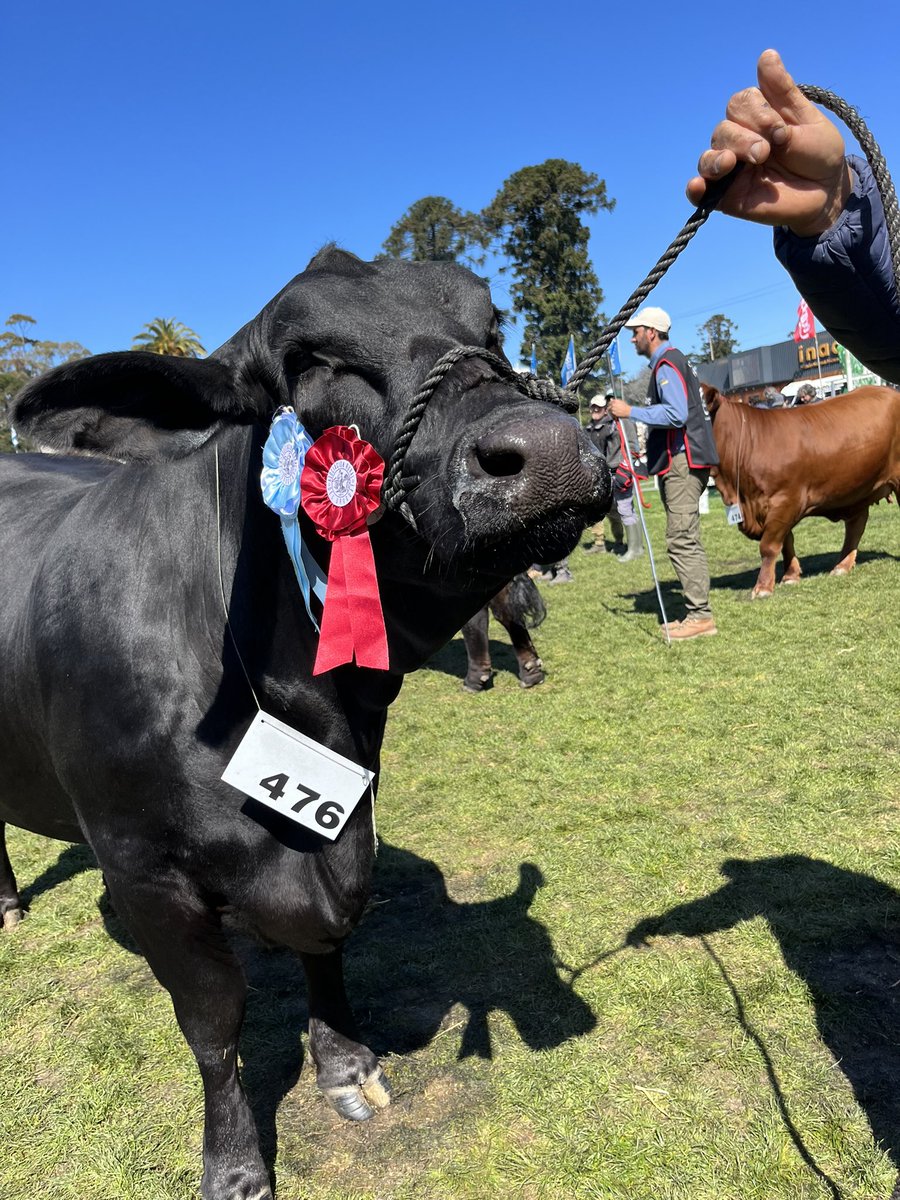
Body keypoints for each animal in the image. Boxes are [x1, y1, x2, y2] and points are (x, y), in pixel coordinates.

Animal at [0, 247, 610, 1200]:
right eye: (308, 358)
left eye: (493, 325)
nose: (546, 449)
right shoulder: (145, 869)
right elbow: (213, 1021)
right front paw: (235, 1162)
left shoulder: (337, 826)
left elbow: (328, 944)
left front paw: (346, 1065)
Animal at [703, 385, 900, 598]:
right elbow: (786, 542)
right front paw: (790, 576)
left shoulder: (785, 500)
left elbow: (768, 546)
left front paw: (763, 587)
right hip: (856, 489)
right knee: (856, 523)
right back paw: (842, 566)